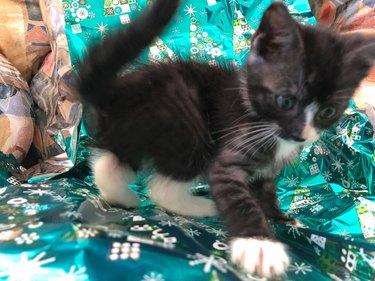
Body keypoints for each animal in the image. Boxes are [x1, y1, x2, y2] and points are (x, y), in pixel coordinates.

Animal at [79, 0, 375, 276]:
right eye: (285, 101)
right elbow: (239, 197)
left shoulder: (266, 170)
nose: (300, 136)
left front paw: (283, 218)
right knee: (161, 187)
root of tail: (116, 94)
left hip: (137, 136)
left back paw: (122, 196)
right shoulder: (233, 151)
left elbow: (267, 191)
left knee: (109, 163)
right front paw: (259, 246)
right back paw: (203, 206)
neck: (257, 113)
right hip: (187, 128)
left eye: (328, 111)